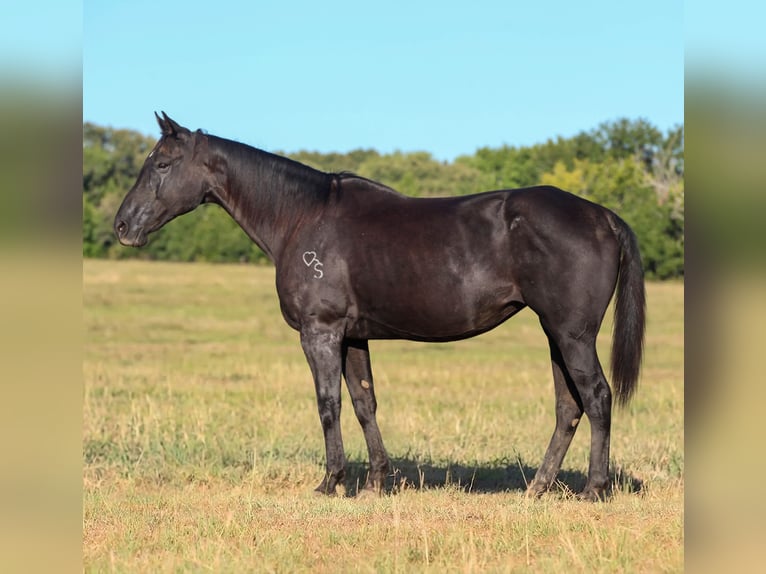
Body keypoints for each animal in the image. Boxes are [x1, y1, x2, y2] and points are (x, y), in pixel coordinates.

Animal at [114, 112, 645, 501]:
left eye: (161, 165)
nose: (122, 225)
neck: (302, 218)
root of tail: (602, 215)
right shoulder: (353, 336)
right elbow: (364, 403)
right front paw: (375, 482)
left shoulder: (320, 332)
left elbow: (328, 404)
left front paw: (331, 482)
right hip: (556, 333)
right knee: (568, 406)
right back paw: (537, 488)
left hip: (573, 334)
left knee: (596, 397)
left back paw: (595, 489)